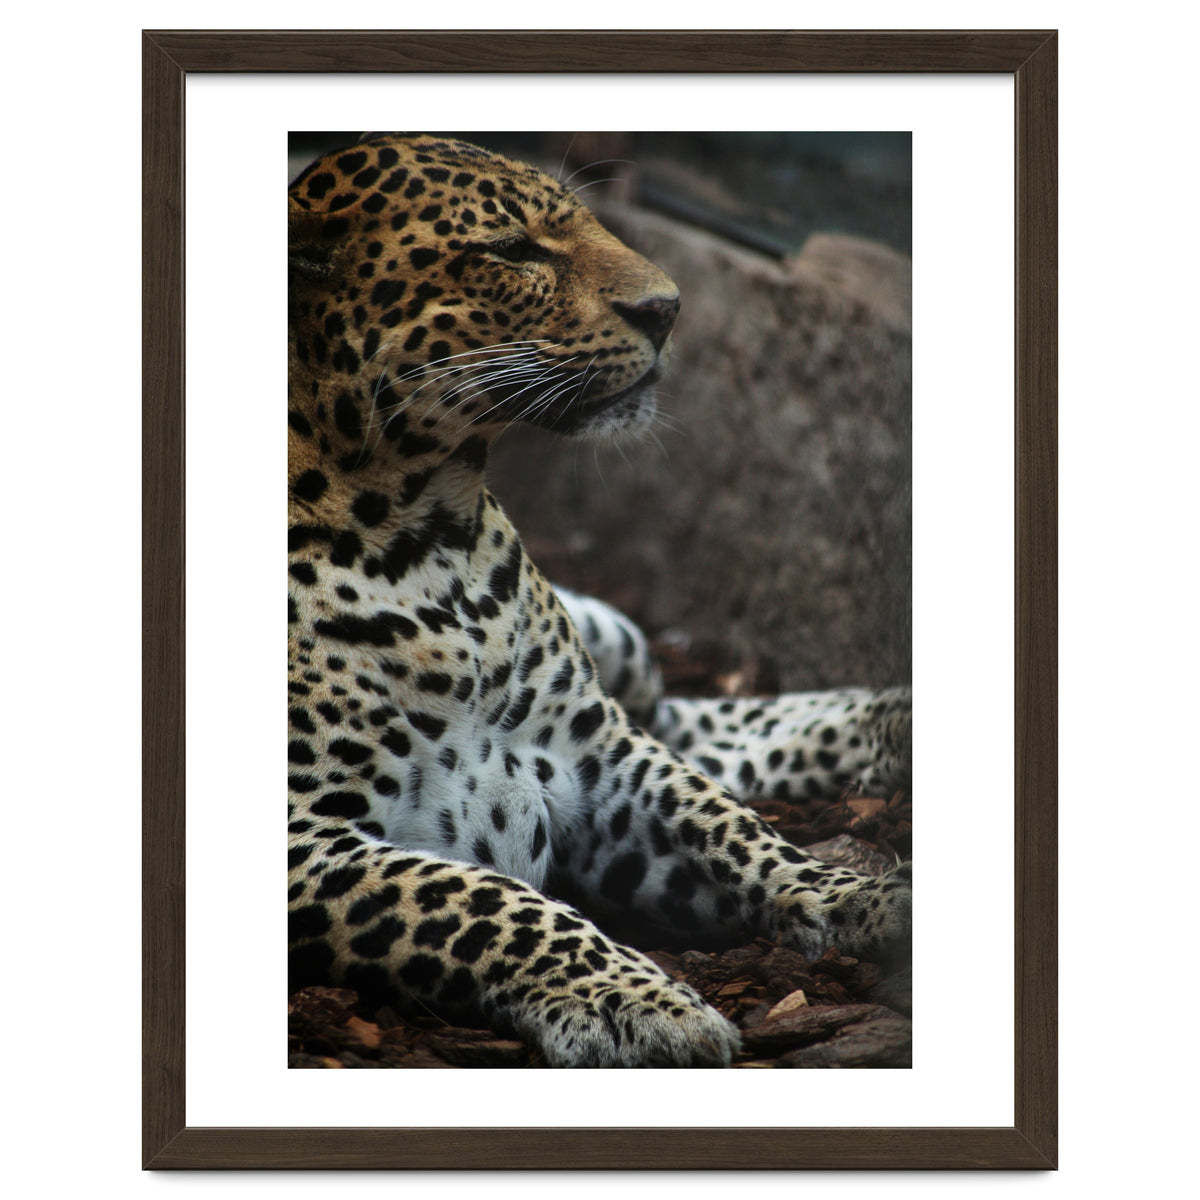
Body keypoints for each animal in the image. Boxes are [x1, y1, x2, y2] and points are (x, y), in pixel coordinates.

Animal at [288, 134, 912, 1068]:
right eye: (512, 250)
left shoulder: (598, 755)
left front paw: (861, 897)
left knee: (685, 722)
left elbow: (731, 826)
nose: (669, 309)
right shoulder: (303, 838)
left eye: (582, 221)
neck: (430, 536)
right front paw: (637, 1002)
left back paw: (893, 720)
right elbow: (482, 901)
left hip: (620, 651)